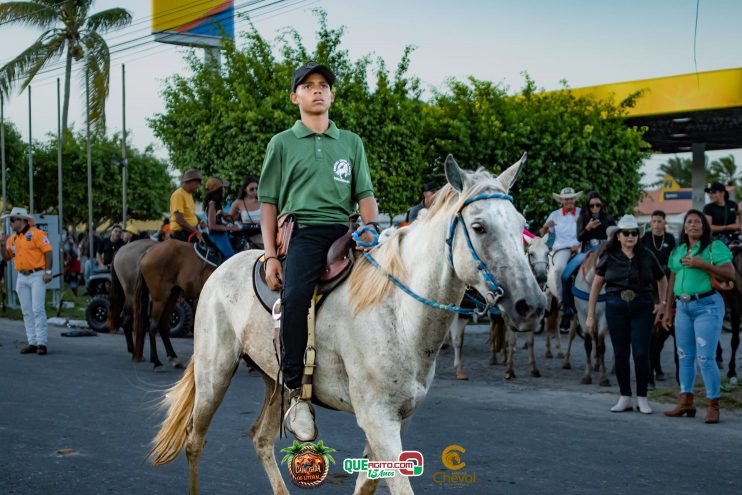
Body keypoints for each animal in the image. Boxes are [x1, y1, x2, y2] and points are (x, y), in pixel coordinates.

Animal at [133, 240, 215, 372]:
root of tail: (149, 250)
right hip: (160, 299)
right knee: (153, 326)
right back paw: (157, 362)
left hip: (172, 295)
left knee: (163, 325)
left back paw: (173, 358)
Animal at [148, 155, 548, 495]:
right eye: (479, 227)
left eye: (522, 226)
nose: (532, 304)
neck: (398, 313)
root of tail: (223, 268)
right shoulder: (378, 419)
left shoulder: (396, 418)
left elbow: (367, 483)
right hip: (213, 374)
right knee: (194, 441)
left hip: (274, 380)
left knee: (259, 439)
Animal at [564, 250, 612, 386]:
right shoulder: (582, 315)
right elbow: (587, 344)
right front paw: (587, 375)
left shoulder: (604, 317)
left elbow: (601, 345)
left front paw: (603, 377)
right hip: (575, 316)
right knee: (572, 334)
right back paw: (566, 361)